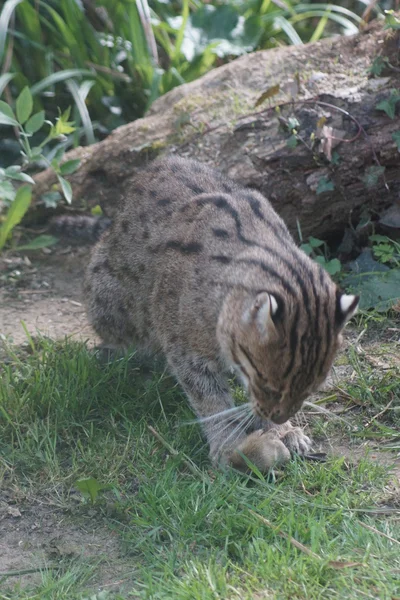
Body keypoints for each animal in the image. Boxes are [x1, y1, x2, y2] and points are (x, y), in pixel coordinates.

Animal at [79, 156, 358, 474]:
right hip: (110, 300)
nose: (276, 417)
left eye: (311, 389)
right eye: (268, 383)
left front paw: (282, 430)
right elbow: (210, 401)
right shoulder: (186, 351)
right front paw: (229, 445)